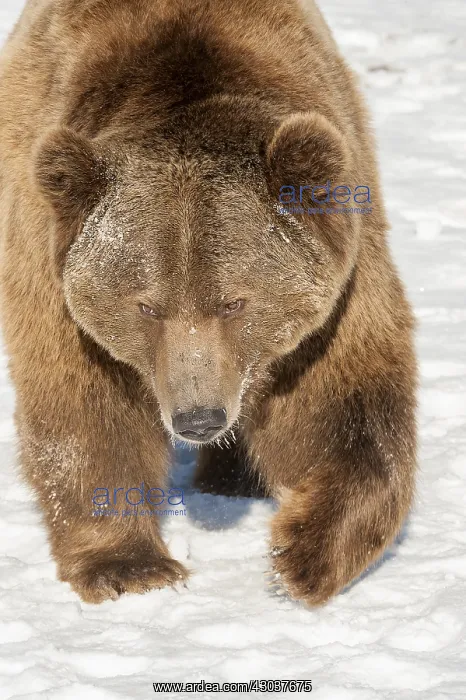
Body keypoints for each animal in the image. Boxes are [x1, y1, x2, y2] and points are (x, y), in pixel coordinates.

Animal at [0, 0, 417, 605]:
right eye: (146, 306)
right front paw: (130, 566)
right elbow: (86, 406)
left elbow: (349, 404)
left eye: (234, 302)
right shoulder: (54, 268)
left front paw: (300, 553)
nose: (198, 417)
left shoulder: (337, 287)